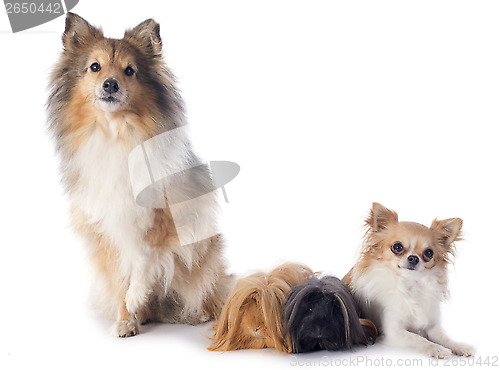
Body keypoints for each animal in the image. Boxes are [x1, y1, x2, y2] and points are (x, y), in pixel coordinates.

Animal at [47, 13, 232, 338]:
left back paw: (197, 313)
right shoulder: (105, 226)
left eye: (130, 70)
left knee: (208, 291)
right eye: (94, 67)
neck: (115, 133)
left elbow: (145, 255)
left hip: (206, 253)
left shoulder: (165, 214)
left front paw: (136, 296)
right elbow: (122, 274)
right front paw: (126, 319)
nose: (110, 84)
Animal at [344, 204, 476, 356]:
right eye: (397, 247)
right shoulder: (393, 332)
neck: (410, 284)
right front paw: (437, 349)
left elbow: (445, 337)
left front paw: (460, 346)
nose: (413, 258)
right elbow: (419, 339)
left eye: (429, 253)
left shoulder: (432, 327)